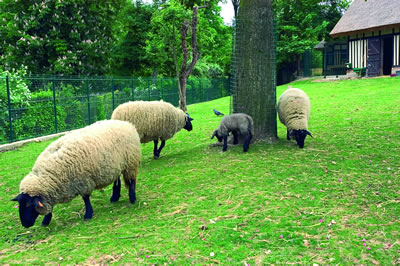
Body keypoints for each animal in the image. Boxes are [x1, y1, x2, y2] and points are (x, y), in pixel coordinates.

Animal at [11, 119, 141, 228]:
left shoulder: (84, 182)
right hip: (116, 165)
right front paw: (46, 221)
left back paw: (132, 198)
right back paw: (115, 197)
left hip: (131, 162)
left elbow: (86, 199)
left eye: (28, 205)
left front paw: (88, 214)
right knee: (117, 180)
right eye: (20, 204)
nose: (25, 224)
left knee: (132, 180)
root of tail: (125, 123)